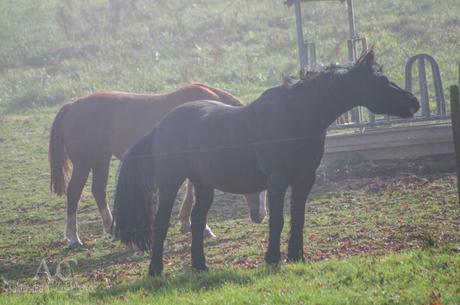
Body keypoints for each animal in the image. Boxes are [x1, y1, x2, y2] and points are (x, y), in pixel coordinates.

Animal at [49, 83, 266, 247]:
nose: (260, 216)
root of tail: (72, 106)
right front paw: (200, 227)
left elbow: (189, 191)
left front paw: (186, 223)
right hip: (84, 164)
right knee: (74, 193)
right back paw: (73, 238)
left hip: (101, 160)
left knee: (98, 190)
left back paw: (111, 229)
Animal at [113, 50, 418, 276]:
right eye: (379, 81)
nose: (413, 102)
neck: (296, 117)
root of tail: (160, 126)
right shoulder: (277, 179)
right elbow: (278, 219)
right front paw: (273, 258)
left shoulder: (305, 179)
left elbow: (298, 217)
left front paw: (297, 256)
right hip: (170, 182)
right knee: (161, 222)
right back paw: (156, 271)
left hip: (204, 184)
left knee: (198, 221)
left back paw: (200, 266)